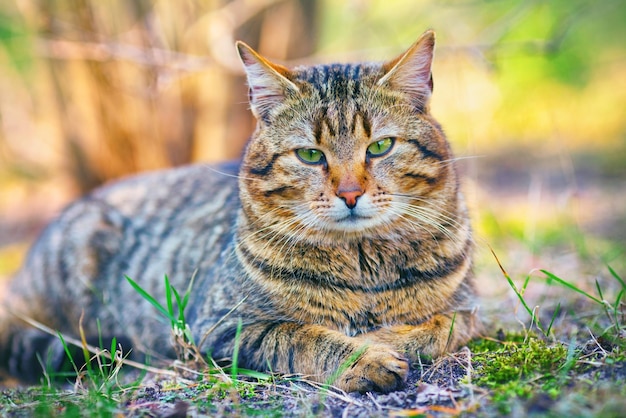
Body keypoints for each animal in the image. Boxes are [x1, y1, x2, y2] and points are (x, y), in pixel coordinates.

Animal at [0, 31, 478, 394]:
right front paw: (364, 356)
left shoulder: (474, 307)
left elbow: (440, 325)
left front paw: (382, 339)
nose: (349, 193)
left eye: (380, 147)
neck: (363, 266)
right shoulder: (219, 327)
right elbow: (300, 335)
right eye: (310, 155)